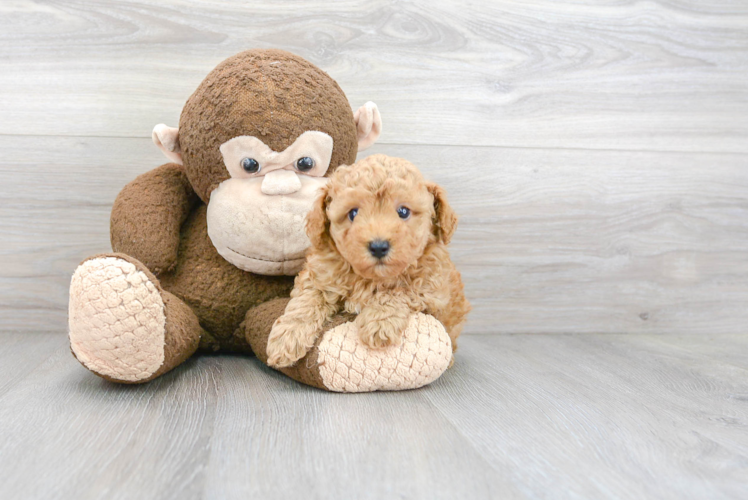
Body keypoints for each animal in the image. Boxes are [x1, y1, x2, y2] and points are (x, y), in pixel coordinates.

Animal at [266, 154, 470, 370]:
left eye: (403, 212)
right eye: (353, 213)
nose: (378, 246)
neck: (370, 278)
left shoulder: (430, 289)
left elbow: (399, 290)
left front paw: (379, 322)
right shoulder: (319, 275)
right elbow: (306, 301)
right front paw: (286, 338)